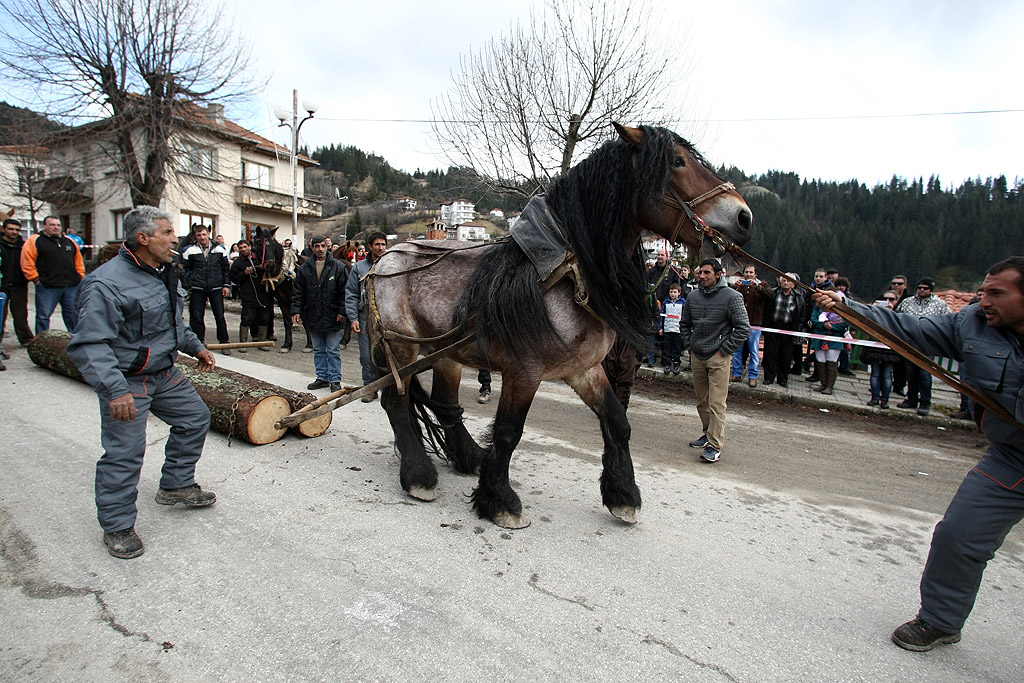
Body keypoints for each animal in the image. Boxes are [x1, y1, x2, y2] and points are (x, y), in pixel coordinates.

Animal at [368, 122, 753, 528]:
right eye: (677, 161)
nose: (744, 217)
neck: (567, 271)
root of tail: (382, 258)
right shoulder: (524, 371)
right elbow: (508, 433)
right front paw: (500, 501)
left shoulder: (584, 368)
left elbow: (618, 421)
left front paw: (623, 495)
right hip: (400, 347)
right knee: (395, 400)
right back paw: (418, 475)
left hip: (445, 353)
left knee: (445, 404)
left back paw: (469, 458)